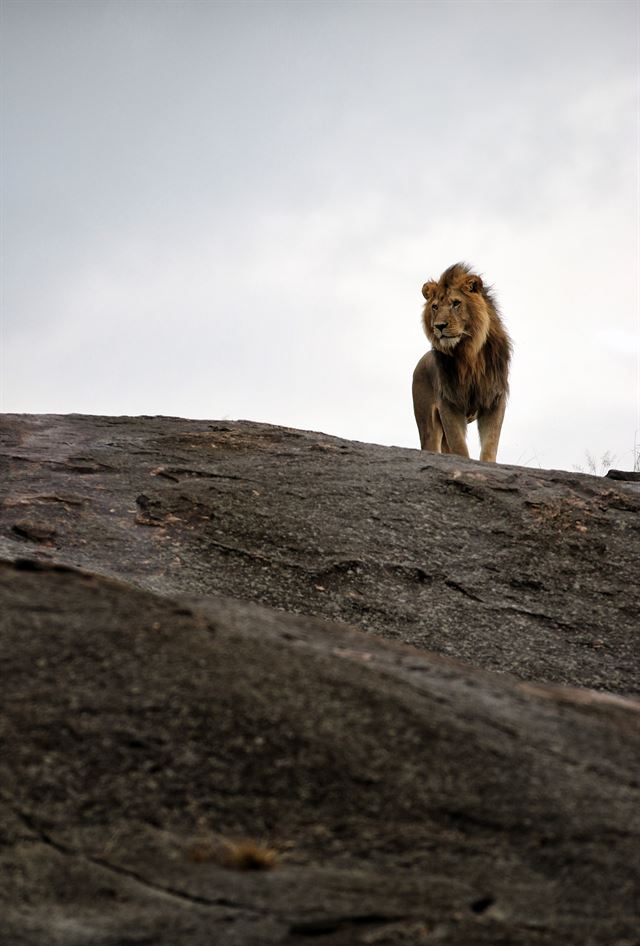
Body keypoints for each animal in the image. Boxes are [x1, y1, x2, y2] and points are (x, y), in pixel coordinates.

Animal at [412, 262, 512, 460]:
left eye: (456, 303)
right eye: (435, 307)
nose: (439, 326)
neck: (469, 354)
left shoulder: (495, 398)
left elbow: (490, 444)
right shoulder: (449, 402)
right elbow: (459, 445)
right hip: (428, 424)